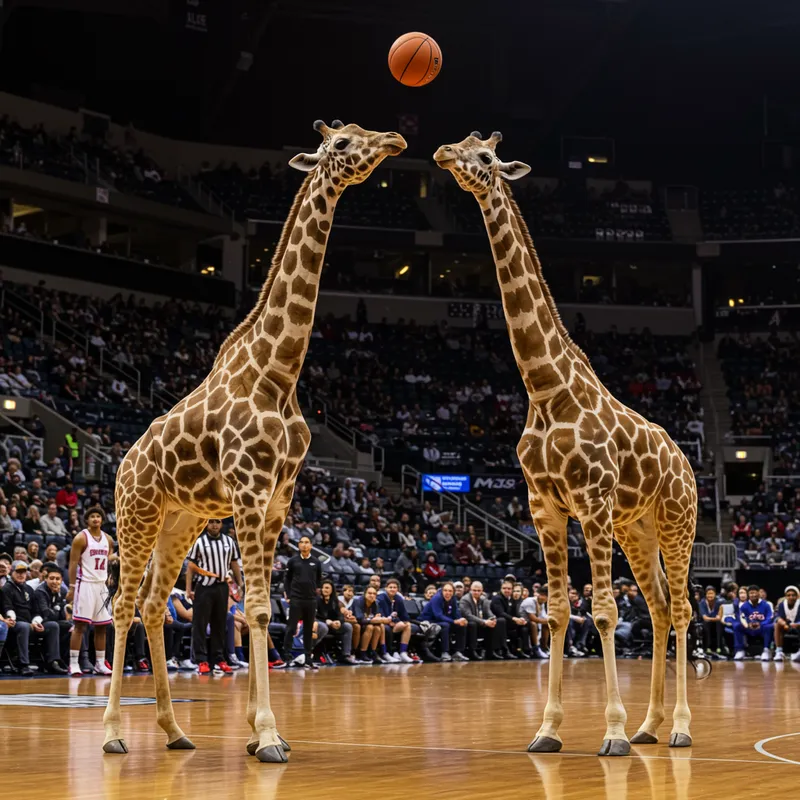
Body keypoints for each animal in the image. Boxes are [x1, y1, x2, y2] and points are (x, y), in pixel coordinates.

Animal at [102, 120, 407, 762]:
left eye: (361, 130)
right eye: (341, 143)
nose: (392, 138)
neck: (278, 371)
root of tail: (124, 461)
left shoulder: (278, 496)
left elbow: (265, 608)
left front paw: (260, 730)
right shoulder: (248, 490)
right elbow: (261, 610)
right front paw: (266, 735)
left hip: (182, 520)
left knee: (151, 604)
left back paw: (174, 729)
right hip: (137, 513)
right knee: (122, 604)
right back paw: (114, 732)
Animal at [434, 131, 697, 756]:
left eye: (486, 157)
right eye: (462, 142)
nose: (444, 154)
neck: (545, 389)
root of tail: (687, 465)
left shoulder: (593, 503)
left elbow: (600, 611)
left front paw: (613, 732)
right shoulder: (544, 507)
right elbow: (556, 612)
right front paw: (548, 730)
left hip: (676, 522)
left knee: (682, 609)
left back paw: (677, 727)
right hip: (637, 529)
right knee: (658, 606)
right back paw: (651, 724)